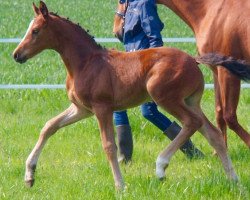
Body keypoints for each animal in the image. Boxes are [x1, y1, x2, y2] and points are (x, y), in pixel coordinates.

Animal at [114, 0, 250, 148]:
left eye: (121, 2)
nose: (116, 31)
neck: (211, 11)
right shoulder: (216, 70)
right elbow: (219, 113)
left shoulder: (227, 73)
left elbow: (229, 116)